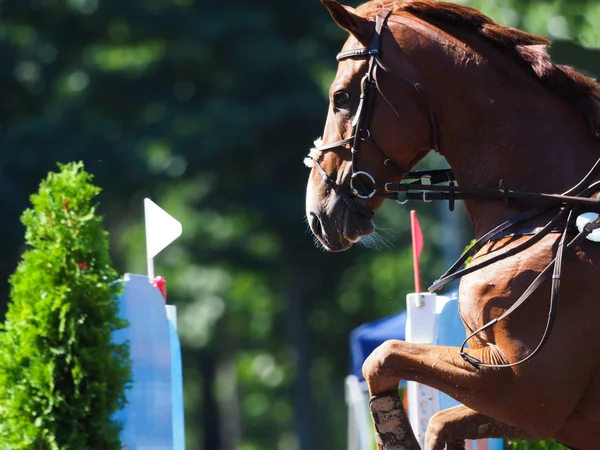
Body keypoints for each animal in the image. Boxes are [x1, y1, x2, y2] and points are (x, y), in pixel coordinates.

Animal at [308, 0, 600, 450]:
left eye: (341, 97)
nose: (317, 211)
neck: (541, 217)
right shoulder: (521, 399)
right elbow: (440, 419)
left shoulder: (527, 393)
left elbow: (385, 356)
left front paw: (394, 432)